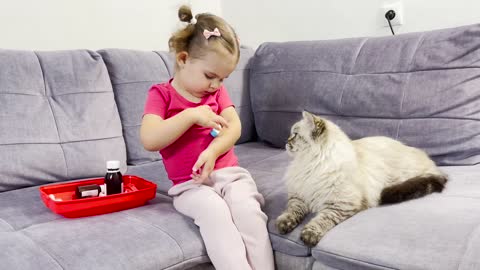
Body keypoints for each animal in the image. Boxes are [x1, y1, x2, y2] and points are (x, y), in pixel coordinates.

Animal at [276, 111, 448, 247]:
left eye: (295, 135)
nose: (286, 142)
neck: (310, 164)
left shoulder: (340, 205)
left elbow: (322, 219)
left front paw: (309, 234)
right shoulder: (299, 196)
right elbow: (292, 211)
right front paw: (284, 224)